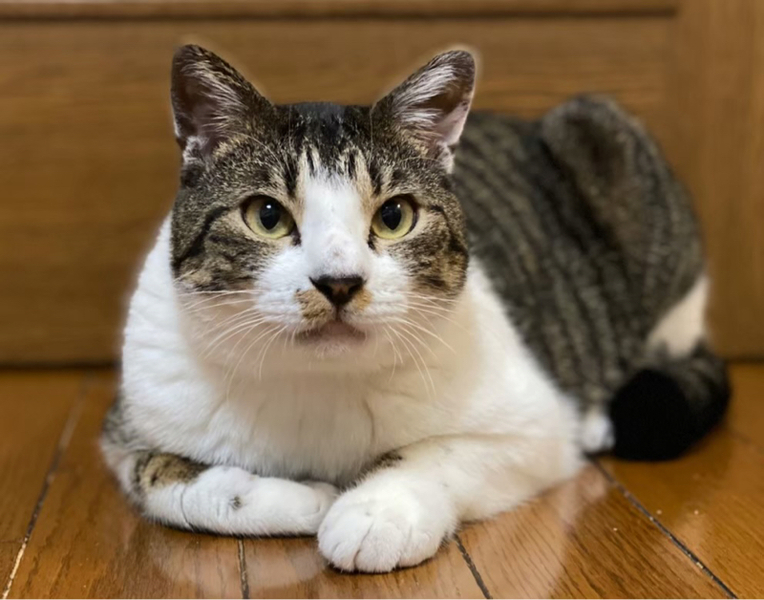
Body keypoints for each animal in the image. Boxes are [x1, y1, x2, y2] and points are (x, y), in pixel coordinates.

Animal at [101, 44, 729, 573]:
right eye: (268, 216)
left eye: (394, 216)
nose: (338, 283)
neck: (317, 385)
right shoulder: (125, 429)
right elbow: (165, 480)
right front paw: (304, 498)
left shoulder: (534, 429)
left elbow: (432, 452)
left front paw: (374, 511)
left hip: (603, 135)